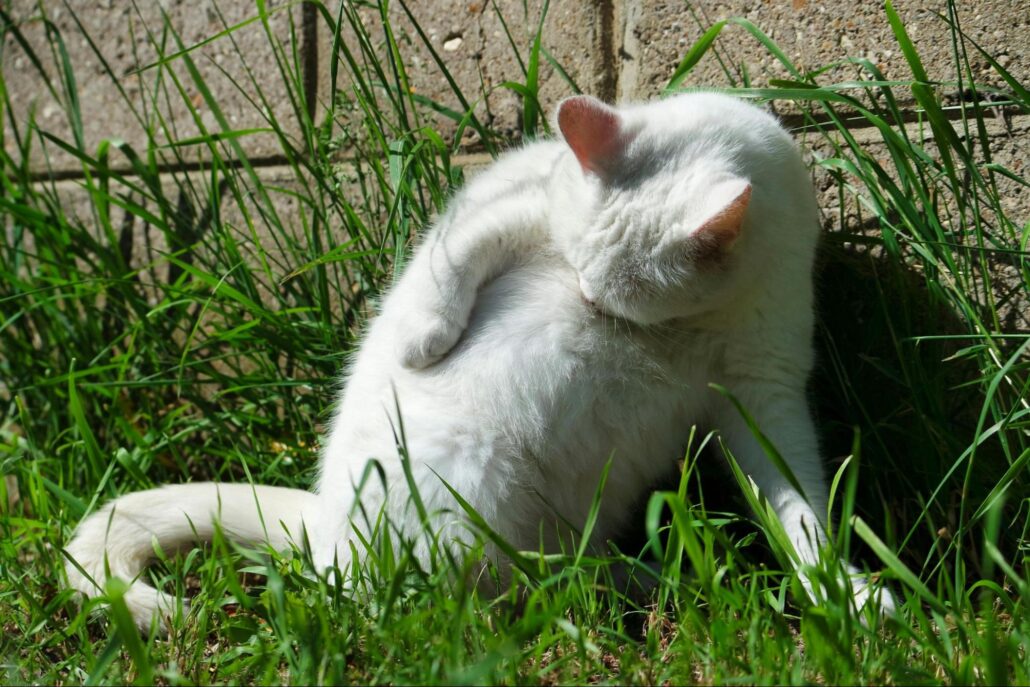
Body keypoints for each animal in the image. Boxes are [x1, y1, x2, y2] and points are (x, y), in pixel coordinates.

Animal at [64, 92, 889, 634]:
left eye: (617, 294)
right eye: (579, 272)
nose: (587, 305)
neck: (688, 329)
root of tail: (322, 520)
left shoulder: (763, 392)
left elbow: (799, 511)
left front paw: (843, 595)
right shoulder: (521, 203)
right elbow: (460, 253)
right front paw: (424, 340)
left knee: (552, 573)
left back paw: (658, 582)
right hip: (471, 500)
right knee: (483, 595)